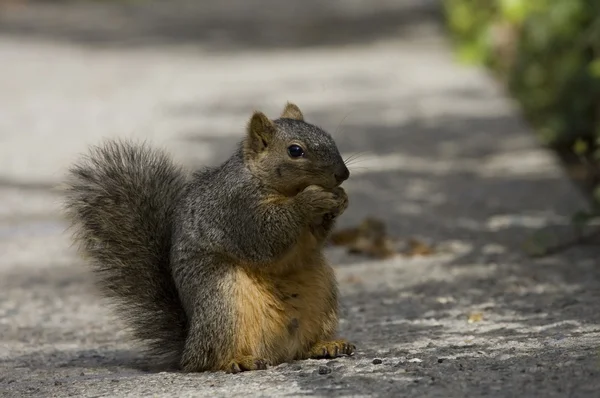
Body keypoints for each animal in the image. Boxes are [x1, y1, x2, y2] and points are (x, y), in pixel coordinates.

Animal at [64, 102, 356, 374]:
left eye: (327, 135)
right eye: (295, 151)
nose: (343, 174)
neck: (260, 177)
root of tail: (188, 347)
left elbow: (315, 237)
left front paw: (341, 198)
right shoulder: (237, 210)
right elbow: (266, 236)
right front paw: (311, 199)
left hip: (322, 292)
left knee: (301, 347)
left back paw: (326, 345)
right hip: (222, 297)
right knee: (209, 359)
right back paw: (237, 360)